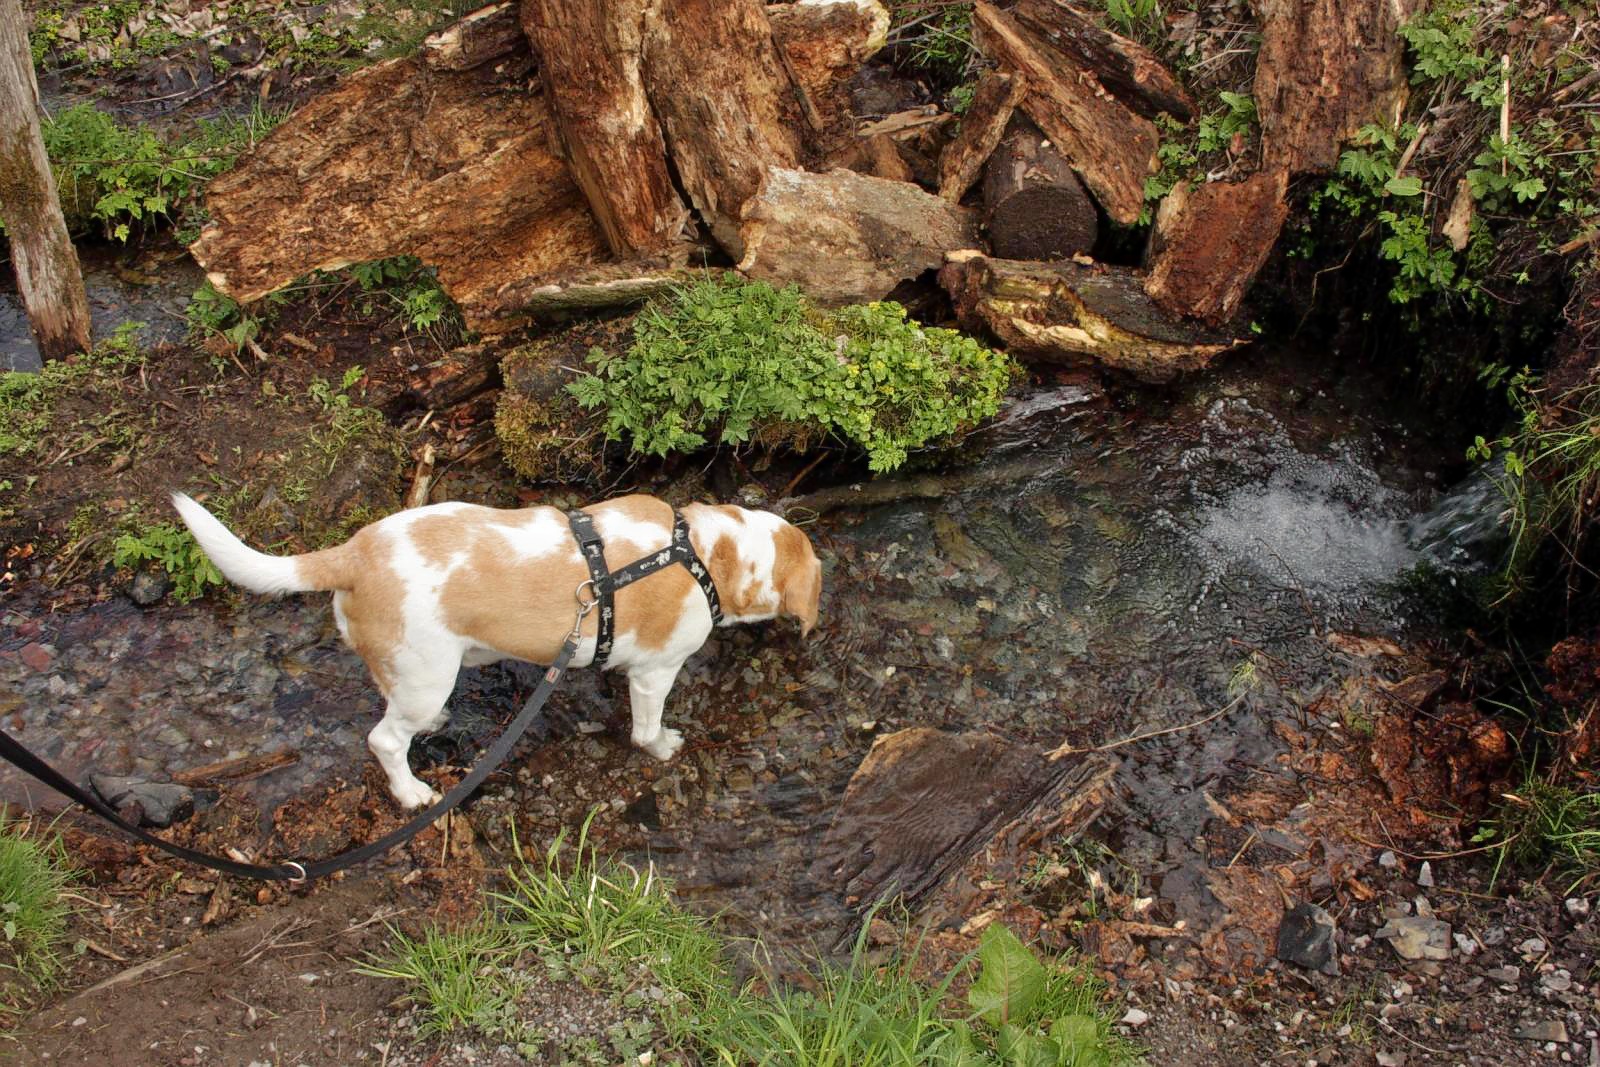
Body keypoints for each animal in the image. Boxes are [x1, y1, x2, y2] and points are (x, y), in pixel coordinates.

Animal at [172, 492, 825, 809]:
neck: (707, 552)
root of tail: (352, 554)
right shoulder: (655, 672)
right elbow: (646, 730)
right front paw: (663, 746)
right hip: (426, 673)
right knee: (384, 741)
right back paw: (411, 793)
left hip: (412, 673)